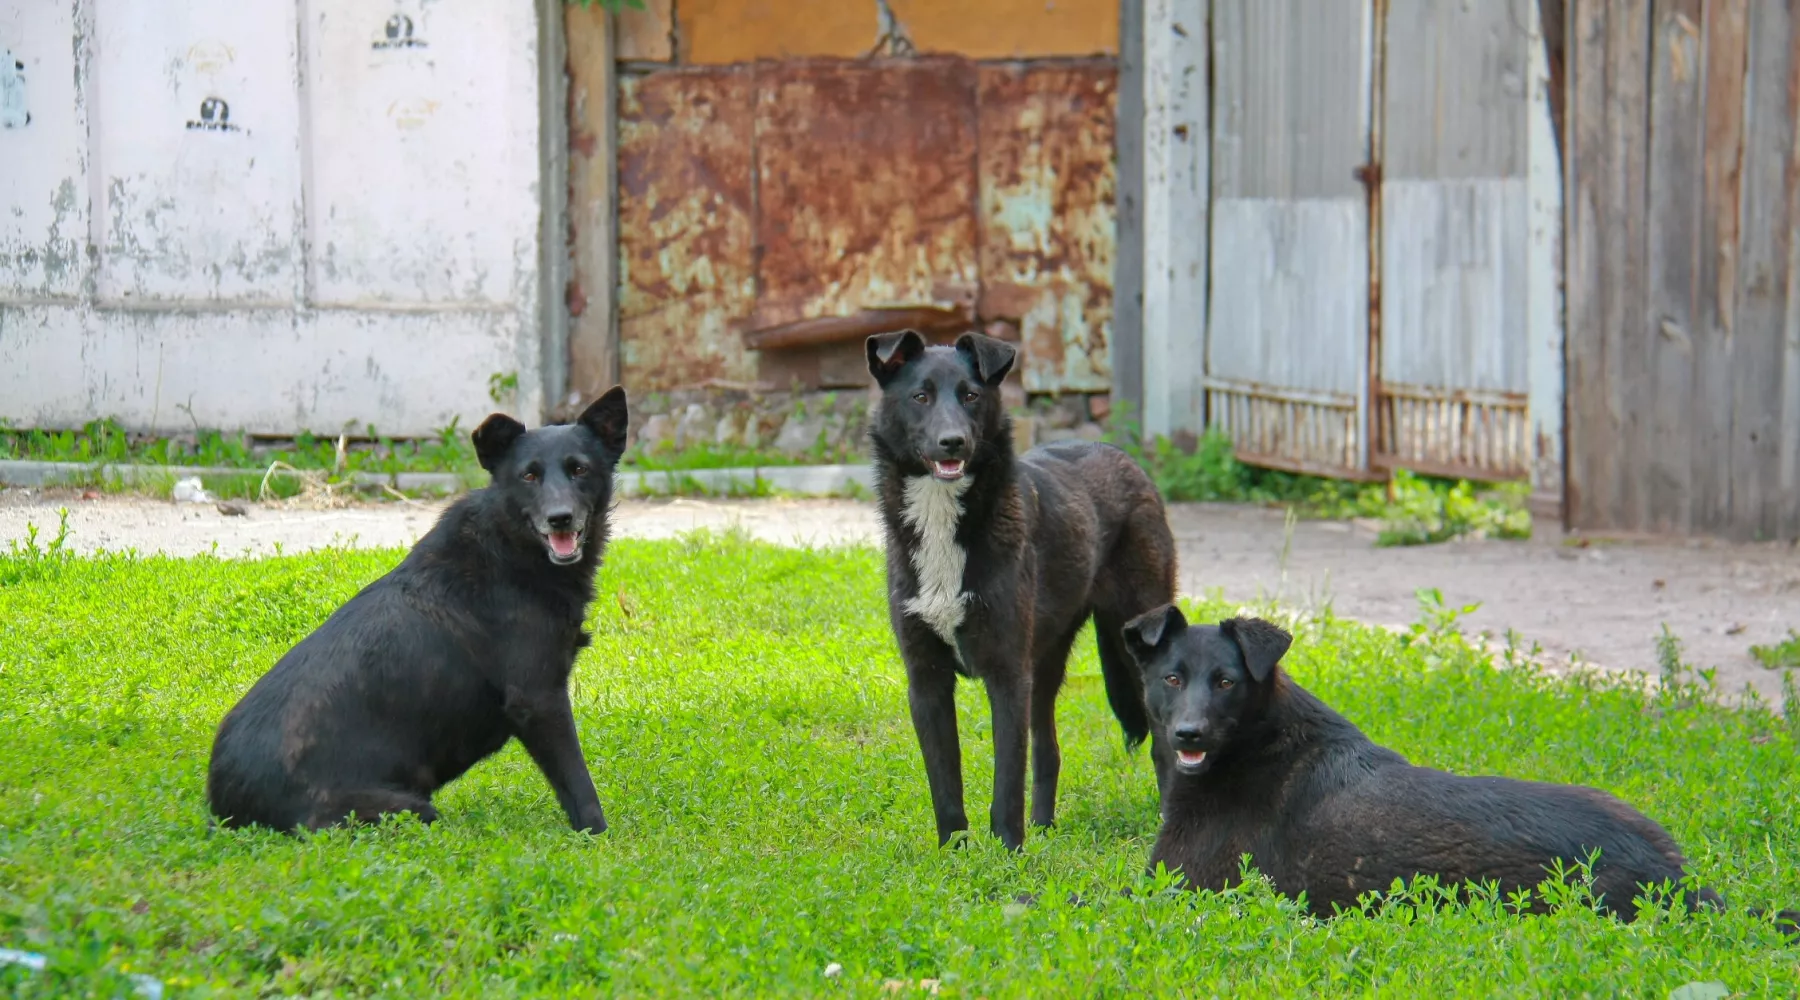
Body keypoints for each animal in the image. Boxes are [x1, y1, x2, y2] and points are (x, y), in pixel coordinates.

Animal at [207, 390, 633, 834]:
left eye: (579, 469)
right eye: (529, 476)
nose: (560, 519)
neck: (510, 547)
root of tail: (224, 805)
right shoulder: (539, 699)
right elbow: (579, 783)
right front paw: (599, 834)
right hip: (407, 808)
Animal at [871, 332, 1180, 848]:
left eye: (971, 395)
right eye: (920, 396)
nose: (953, 442)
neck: (945, 522)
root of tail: (1128, 460)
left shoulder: (1007, 675)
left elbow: (1006, 779)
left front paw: (1008, 851)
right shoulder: (927, 680)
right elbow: (945, 781)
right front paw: (954, 852)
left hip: (1134, 642)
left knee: (1163, 750)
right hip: (1046, 663)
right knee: (1049, 750)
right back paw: (1044, 827)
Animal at [1123, 600, 1800, 935]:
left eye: (1227, 681)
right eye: (1173, 679)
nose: (1188, 734)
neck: (1256, 743)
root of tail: (1677, 880)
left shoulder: (1173, 886)